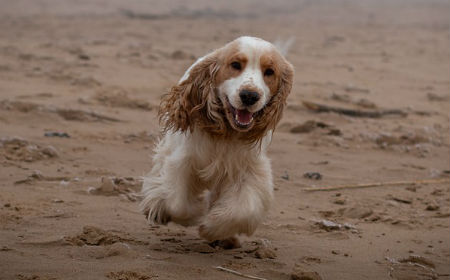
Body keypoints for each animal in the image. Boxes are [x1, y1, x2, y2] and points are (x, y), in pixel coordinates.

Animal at [142, 36, 296, 245]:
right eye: (235, 65)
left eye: (269, 72)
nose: (249, 96)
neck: (227, 132)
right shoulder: (183, 160)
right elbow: (177, 203)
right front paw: (195, 214)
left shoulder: (248, 169)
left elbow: (243, 211)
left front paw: (212, 229)